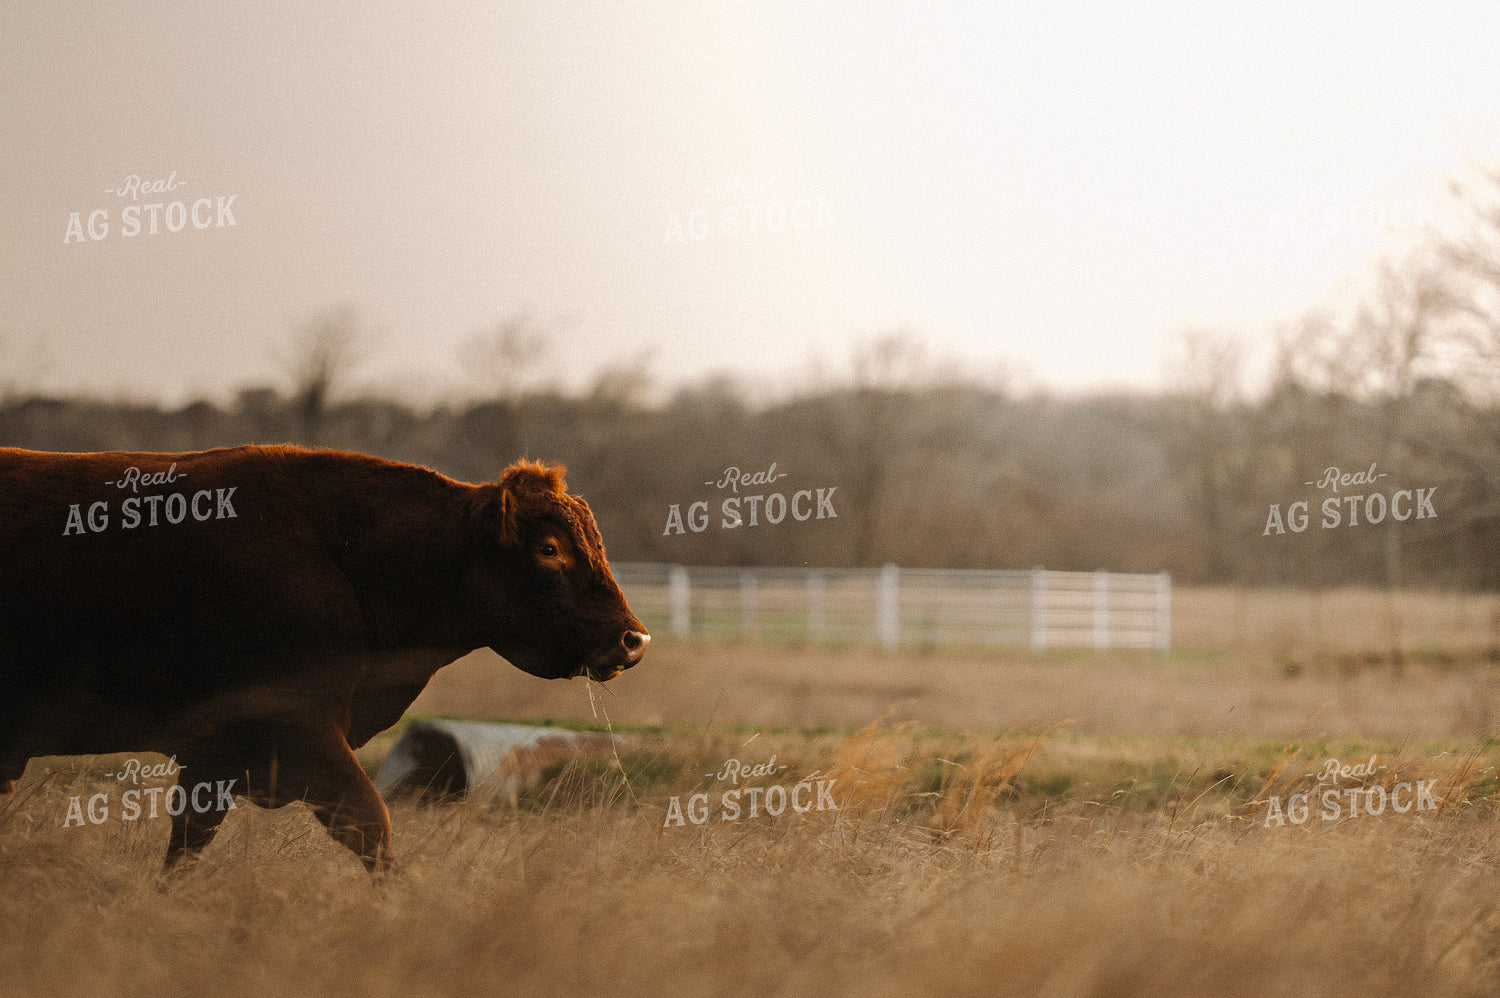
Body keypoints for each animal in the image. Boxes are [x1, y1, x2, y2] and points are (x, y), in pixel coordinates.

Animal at [0, 445, 648, 872]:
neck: (350, 554)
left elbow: (186, 846)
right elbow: (371, 826)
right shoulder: (298, 731)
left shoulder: (217, 754)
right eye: (549, 549)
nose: (633, 639)